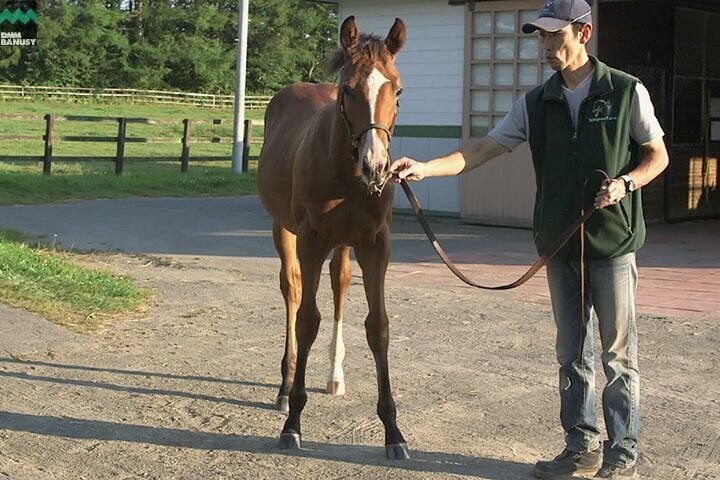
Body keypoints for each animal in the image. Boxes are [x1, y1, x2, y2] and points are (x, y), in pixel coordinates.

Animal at [256, 15, 408, 460]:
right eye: (349, 89)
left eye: (397, 89)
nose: (376, 166)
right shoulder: (311, 239)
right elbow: (307, 319)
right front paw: (292, 423)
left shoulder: (375, 244)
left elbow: (378, 327)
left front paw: (393, 431)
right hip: (285, 229)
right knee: (292, 290)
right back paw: (285, 387)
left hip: (343, 244)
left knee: (339, 283)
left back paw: (334, 376)